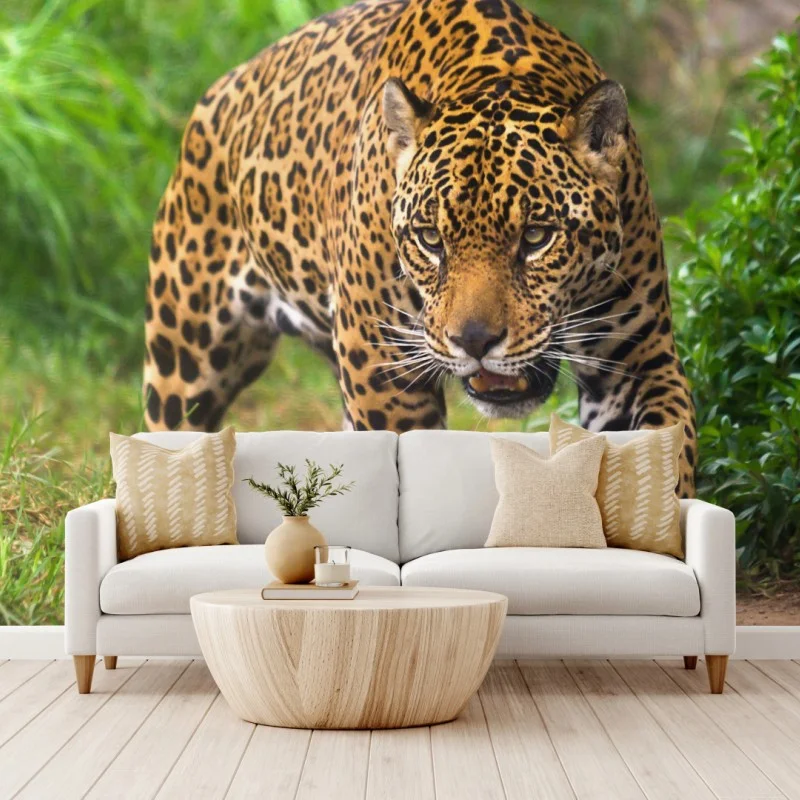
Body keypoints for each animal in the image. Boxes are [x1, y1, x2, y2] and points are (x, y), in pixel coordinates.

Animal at [143, 0, 697, 495]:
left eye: (537, 236)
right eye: (431, 239)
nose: (475, 342)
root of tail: (224, 86)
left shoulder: (636, 362)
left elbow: (667, 456)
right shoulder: (384, 376)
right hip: (184, 365)